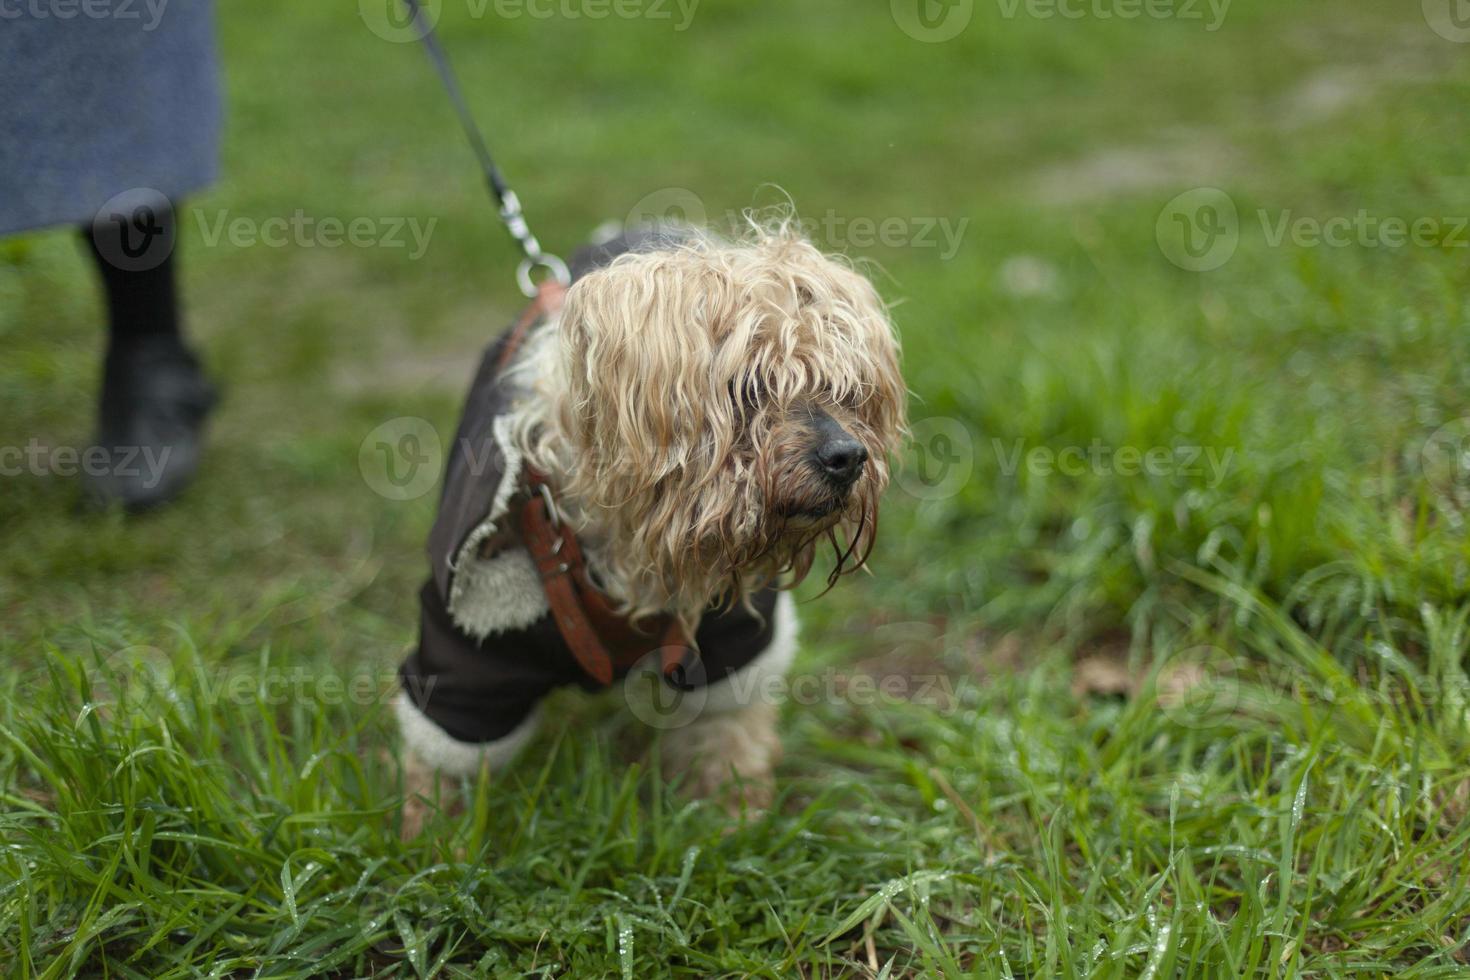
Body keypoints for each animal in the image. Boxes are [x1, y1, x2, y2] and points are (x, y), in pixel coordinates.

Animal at [391, 221, 905, 834]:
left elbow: (728, 732)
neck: (631, 538)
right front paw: (431, 837)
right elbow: (444, 751)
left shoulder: (730, 638)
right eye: (748, 387)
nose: (848, 457)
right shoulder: (468, 652)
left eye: (845, 389)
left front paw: (731, 822)